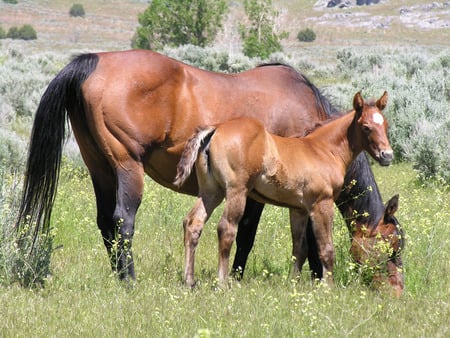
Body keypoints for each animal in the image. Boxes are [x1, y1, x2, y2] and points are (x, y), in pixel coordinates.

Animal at [174, 91, 392, 286]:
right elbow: (326, 249)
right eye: (366, 127)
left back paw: (189, 281)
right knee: (226, 229)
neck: (323, 149)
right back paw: (222, 283)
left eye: (385, 124)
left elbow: (299, 249)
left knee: (193, 223)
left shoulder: (298, 209)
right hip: (236, 192)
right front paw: (327, 287)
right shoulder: (322, 204)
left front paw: (293, 283)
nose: (387, 155)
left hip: (212, 192)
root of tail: (216, 128)